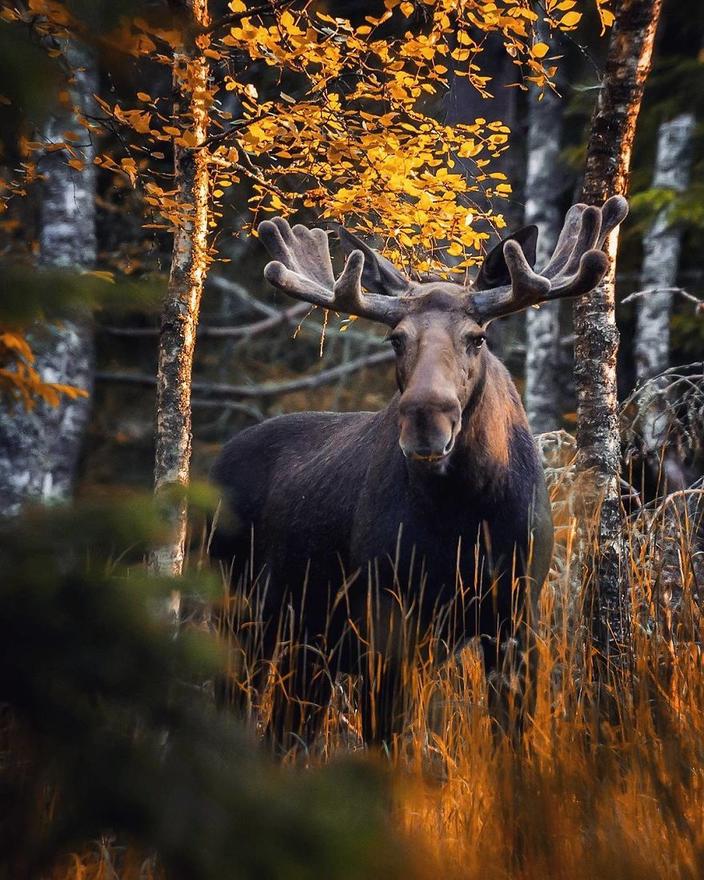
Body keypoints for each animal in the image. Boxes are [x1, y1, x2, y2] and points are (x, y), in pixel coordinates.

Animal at [209, 196, 628, 744]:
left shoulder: (517, 611)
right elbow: (386, 740)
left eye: (477, 337)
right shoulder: (387, 613)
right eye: (396, 338)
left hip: (306, 645)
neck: (463, 513)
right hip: (237, 611)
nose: (426, 420)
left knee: (285, 730)